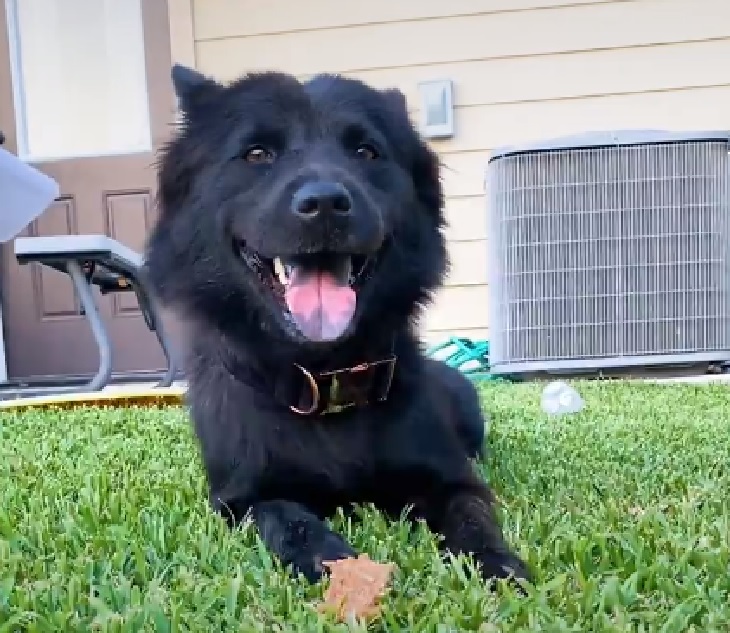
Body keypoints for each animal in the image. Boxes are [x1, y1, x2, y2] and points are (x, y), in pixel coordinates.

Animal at [144, 65, 528, 588]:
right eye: (257, 154)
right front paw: (330, 561)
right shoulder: (240, 499)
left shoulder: (449, 479)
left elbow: (471, 515)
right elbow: (284, 515)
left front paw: (497, 566)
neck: (325, 380)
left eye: (365, 152)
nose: (325, 203)